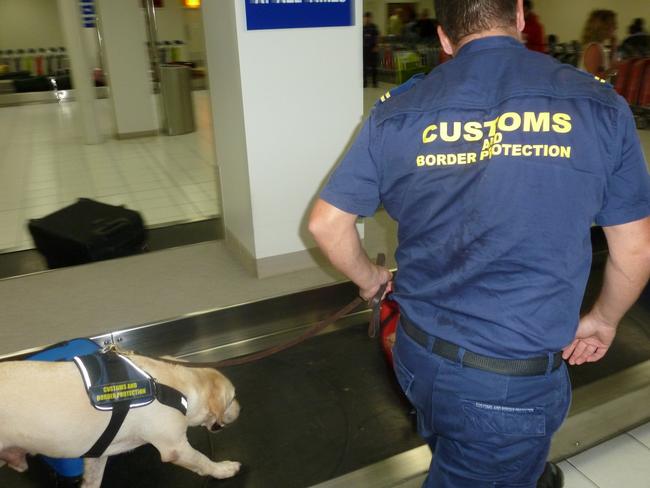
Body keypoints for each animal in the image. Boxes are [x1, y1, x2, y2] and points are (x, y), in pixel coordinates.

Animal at [0, 352, 239, 486]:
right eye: (232, 398)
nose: (241, 408)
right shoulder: (175, 448)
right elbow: (202, 460)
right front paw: (222, 469)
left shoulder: (97, 454)